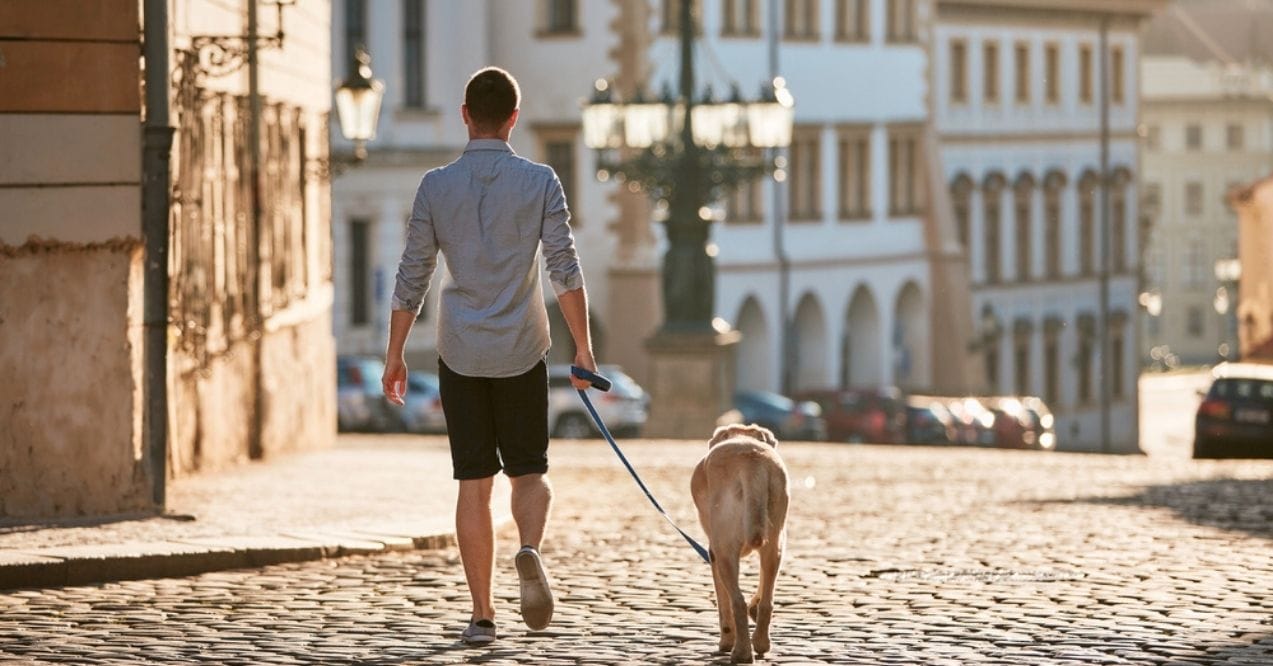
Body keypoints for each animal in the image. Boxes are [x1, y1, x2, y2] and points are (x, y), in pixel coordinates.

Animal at [692, 425, 789, 662]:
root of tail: (751, 459)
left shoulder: (714, 554)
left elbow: (723, 603)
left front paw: (726, 641)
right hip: (775, 543)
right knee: (767, 601)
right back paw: (761, 643)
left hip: (724, 551)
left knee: (737, 601)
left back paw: (741, 652)